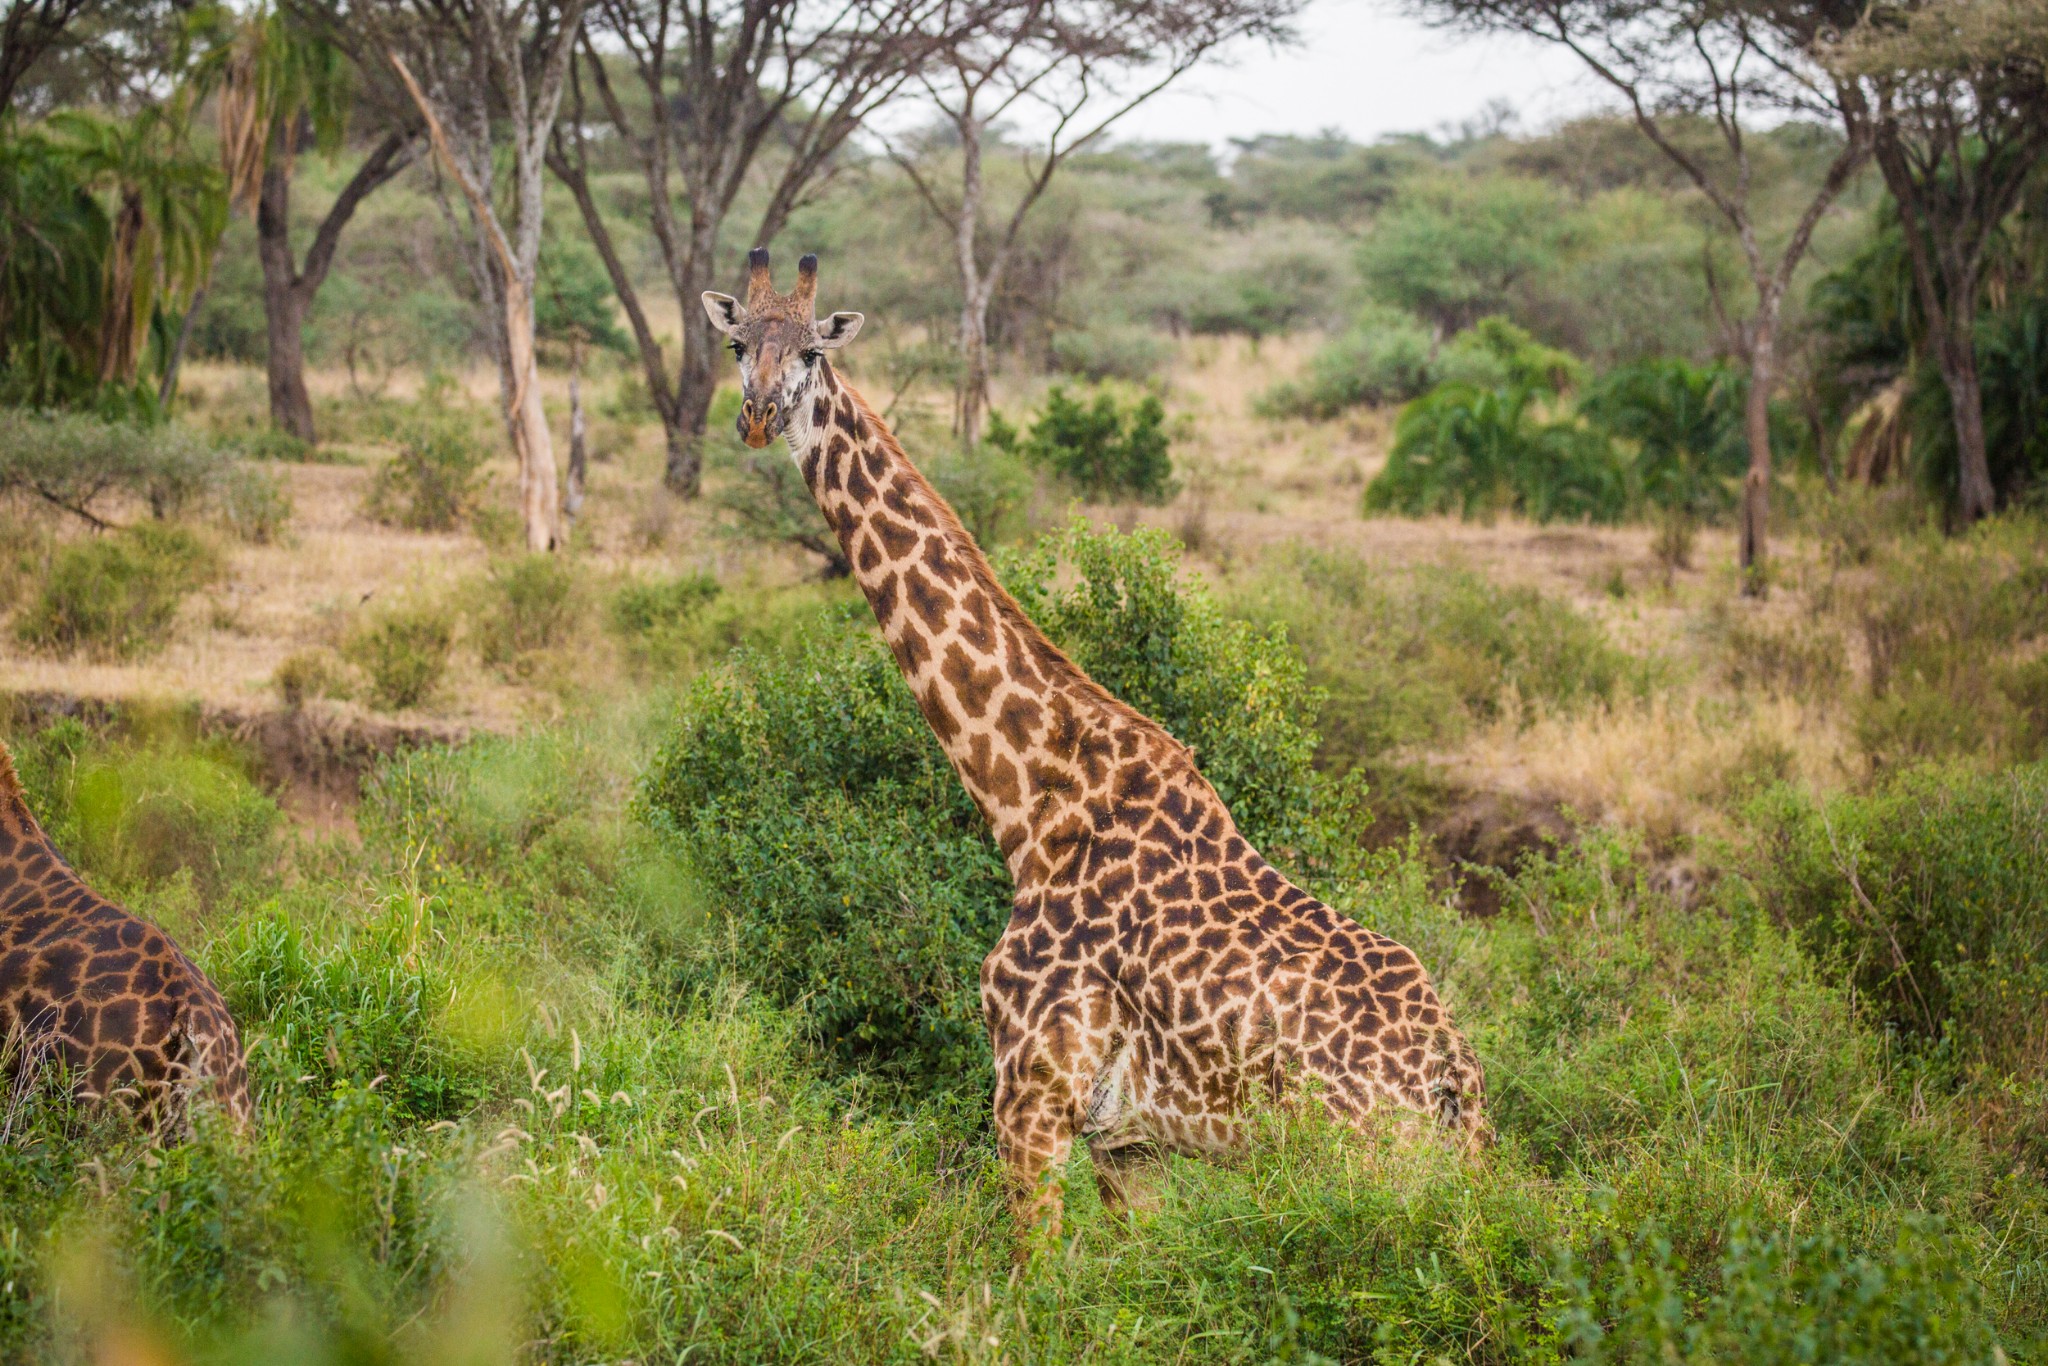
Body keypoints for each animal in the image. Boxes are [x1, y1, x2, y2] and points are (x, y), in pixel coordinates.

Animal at [704, 248, 1490, 1253]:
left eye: (810, 349)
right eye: (737, 344)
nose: (761, 416)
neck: (1031, 799)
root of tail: (1455, 1086)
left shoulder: (1031, 1100)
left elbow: (1033, 1276)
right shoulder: (1128, 1146)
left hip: (1359, 1169)